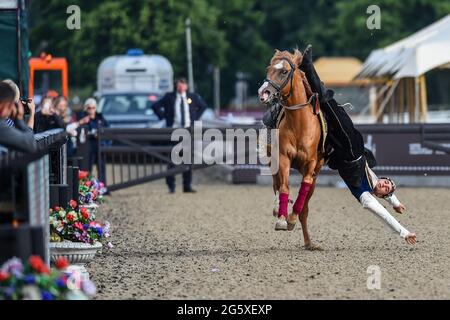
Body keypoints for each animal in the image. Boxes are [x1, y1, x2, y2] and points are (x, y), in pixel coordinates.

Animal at [258, 49, 326, 250]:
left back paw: (309, 242)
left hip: (316, 174)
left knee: (306, 205)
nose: (263, 92)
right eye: (269, 68)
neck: (299, 124)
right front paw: (281, 218)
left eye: (284, 71)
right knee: (276, 185)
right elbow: (284, 186)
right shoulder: (283, 158)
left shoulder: (311, 165)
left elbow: (303, 190)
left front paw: (292, 218)